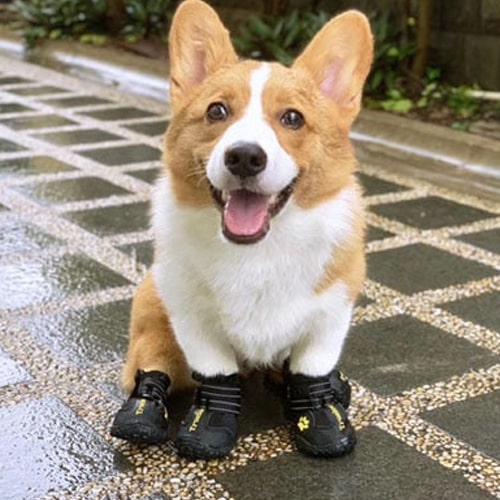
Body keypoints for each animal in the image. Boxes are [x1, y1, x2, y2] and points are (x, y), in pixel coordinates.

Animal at [111, 0, 374, 460]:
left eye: (293, 118)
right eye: (217, 111)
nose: (245, 157)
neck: (258, 250)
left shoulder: (330, 316)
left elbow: (311, 369)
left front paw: (322, 417)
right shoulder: (194, 323)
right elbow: (217, 376)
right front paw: (208, 429)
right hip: (152, 314)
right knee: (153, 366)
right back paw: (141, 414)